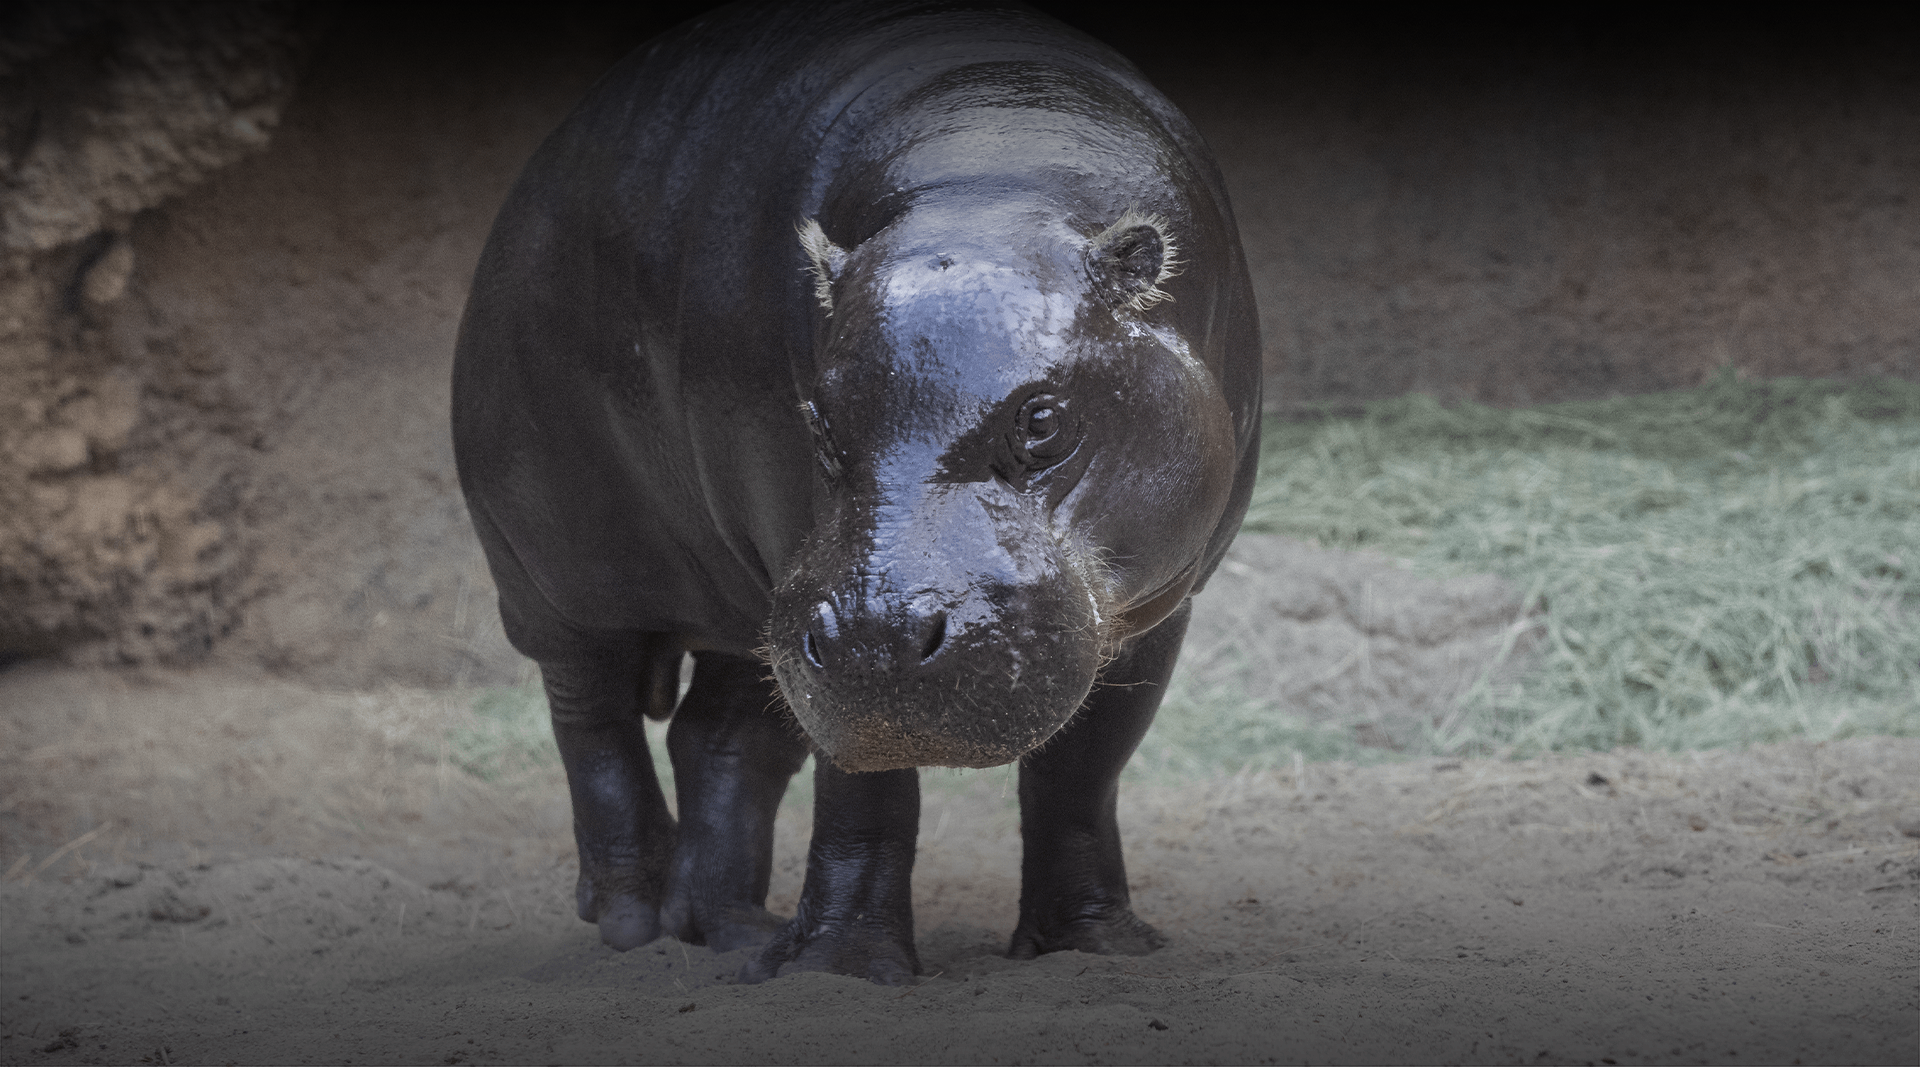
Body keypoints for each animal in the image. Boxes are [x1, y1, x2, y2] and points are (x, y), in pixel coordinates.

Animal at [451, 0, 1261, 985]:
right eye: (818, 417)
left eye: (1041, 417)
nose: (880, 632)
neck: (997, 181)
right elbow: (861, 791)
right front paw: (838, 967)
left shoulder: (1159, 597)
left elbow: (1083, 771)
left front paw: (1097, 943)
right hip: (559, 566)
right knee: (591, 717)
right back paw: (633, 920)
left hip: (750, 601)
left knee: (718, 738)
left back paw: (730, 928)